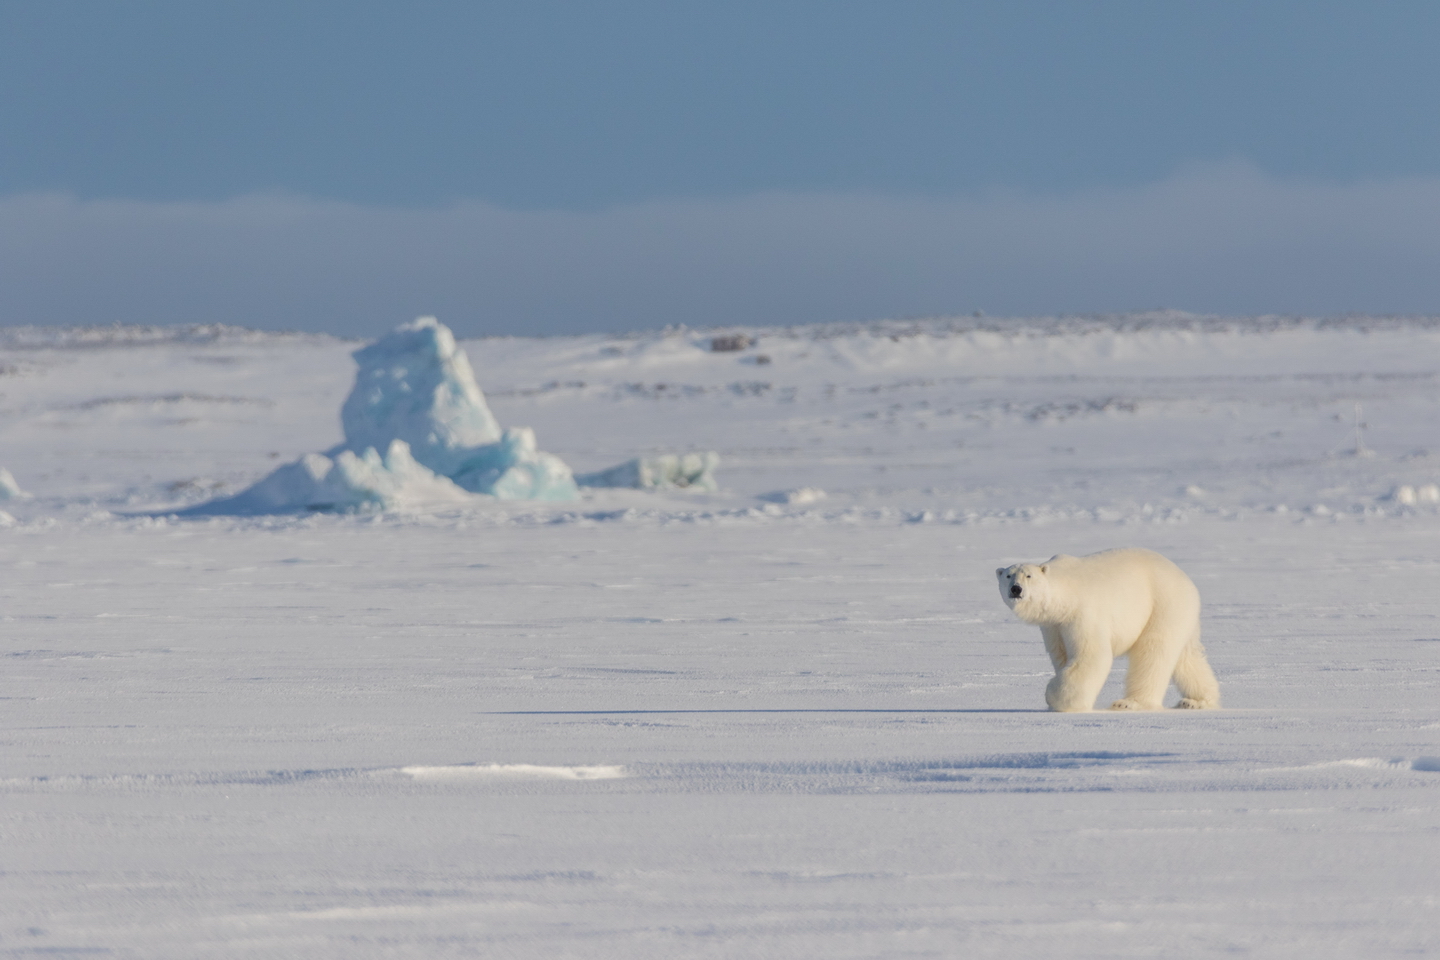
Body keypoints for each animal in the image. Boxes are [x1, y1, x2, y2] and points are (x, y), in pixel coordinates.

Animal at [996, 546, 1221, 713]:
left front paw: (1055, 697)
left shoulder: (1083, 613)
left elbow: (1091, 655)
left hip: (1162, 603)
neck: (1065, 592)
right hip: (1181, 614)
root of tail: (1187, 581)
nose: (1016, 589)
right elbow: (1061, 656)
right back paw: (1196, 701)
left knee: (1153, 653)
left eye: (1028, 576)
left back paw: (1129, 703)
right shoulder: (1053, 625)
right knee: (1188, 656)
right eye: (1008, 576)